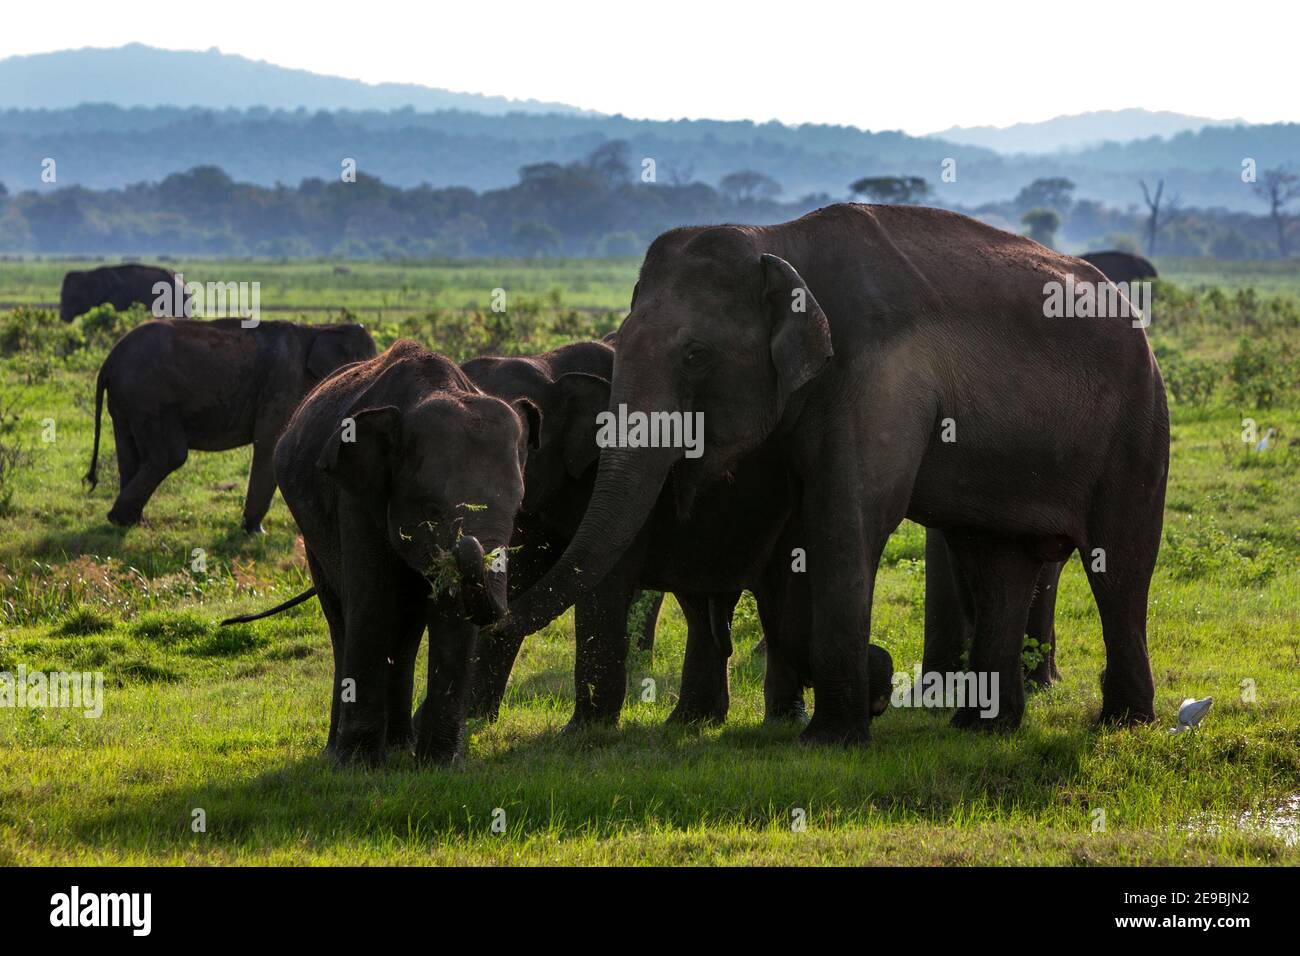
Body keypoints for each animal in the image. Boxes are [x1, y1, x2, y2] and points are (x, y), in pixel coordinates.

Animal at [85, 319, 377, 530]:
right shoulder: (283, 383)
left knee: (130, 454)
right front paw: (254, 531)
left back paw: (129, 522)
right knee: (169, 455)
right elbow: (269, 444)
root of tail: (109, 361)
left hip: (127, 402)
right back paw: (124, 520)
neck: (320, 328)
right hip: (149, 398)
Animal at [504, 204, 1170, 738]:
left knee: (1119, 564)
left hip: (1138, 424)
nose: (491, 603)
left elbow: (846, 521)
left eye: (695, 355)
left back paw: (1123, 725)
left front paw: (832, 738)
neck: (777, 239)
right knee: (997, 563)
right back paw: (981, 729)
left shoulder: (879, 372)